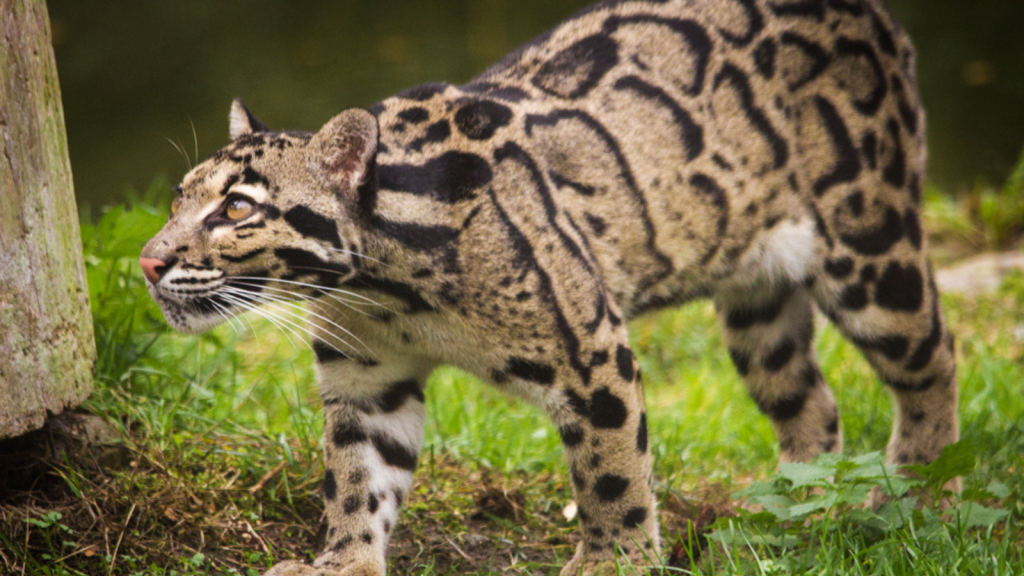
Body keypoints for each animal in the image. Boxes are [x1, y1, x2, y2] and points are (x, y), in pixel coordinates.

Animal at [140, 0, 954, 569]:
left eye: (237, 208)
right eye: (179, 197)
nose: (147, 263)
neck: (384, 291)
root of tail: (866, 11)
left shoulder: (591, 348)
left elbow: (612, 472)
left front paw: (616, 561)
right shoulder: (366, 379)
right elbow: (355, 476)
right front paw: (342, 561)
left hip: (868, 247)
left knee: (934, 360)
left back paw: (917, 492)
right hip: (758, 304)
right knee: (811, 405)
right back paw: (793, 510)